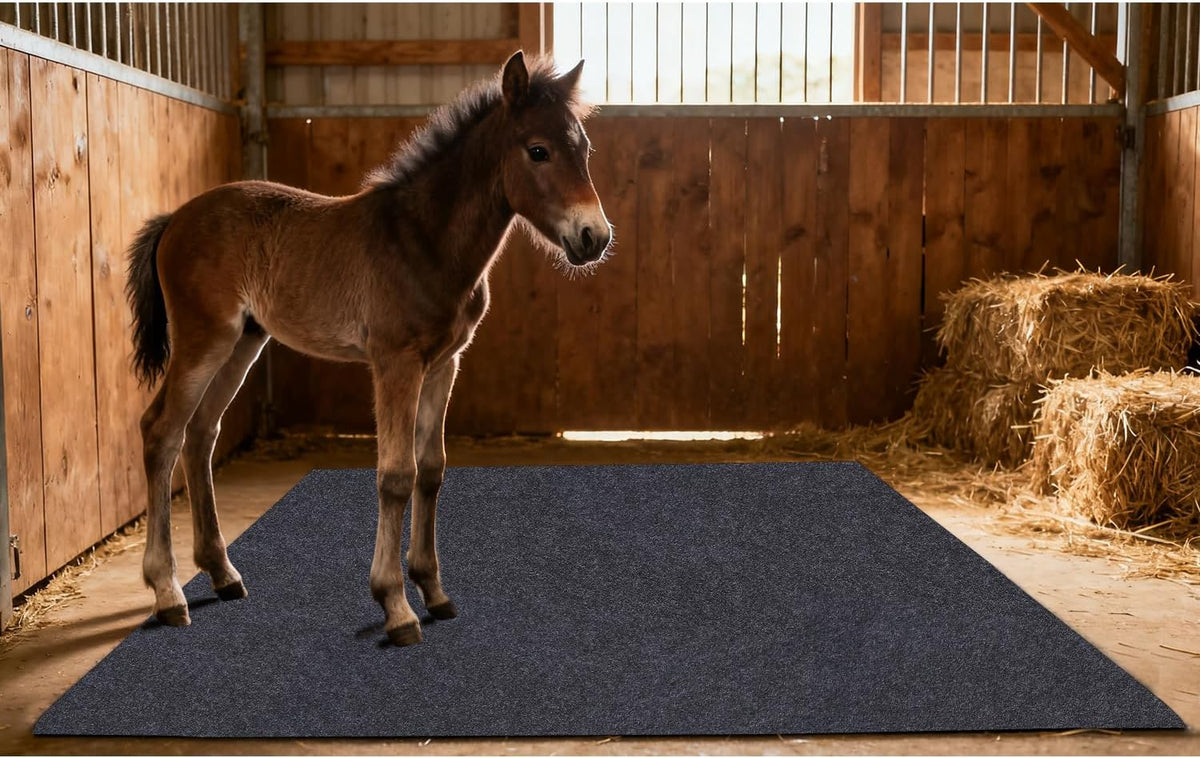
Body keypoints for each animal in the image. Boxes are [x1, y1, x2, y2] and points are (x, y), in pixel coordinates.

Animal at [124, 52, 612, 646]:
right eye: (537, 150)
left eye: (584, 149)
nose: (594, 237)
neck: (423, 240)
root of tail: (175, 219)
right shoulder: (395, 362)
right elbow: (396, 475)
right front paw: (396, 606)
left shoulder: (444, 363)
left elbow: (431, 468)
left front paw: (434, 591)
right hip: (203, 340)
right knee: (162, 432)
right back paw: (168, 592)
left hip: (243, 342)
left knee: (200, 434)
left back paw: (222, 574)